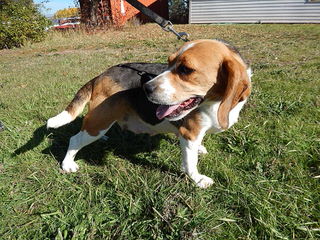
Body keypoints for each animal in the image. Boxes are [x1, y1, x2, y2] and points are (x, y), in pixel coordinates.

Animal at [47, 39, 252, 188]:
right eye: (169, 63)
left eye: (186, 69)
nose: (146, 88)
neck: (214, 102)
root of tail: (101, 75)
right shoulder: (189, 134)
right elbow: (190, 163)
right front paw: (198, 179)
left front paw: (200, 149)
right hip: (99, 122)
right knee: (75, 139)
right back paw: (67, 164)